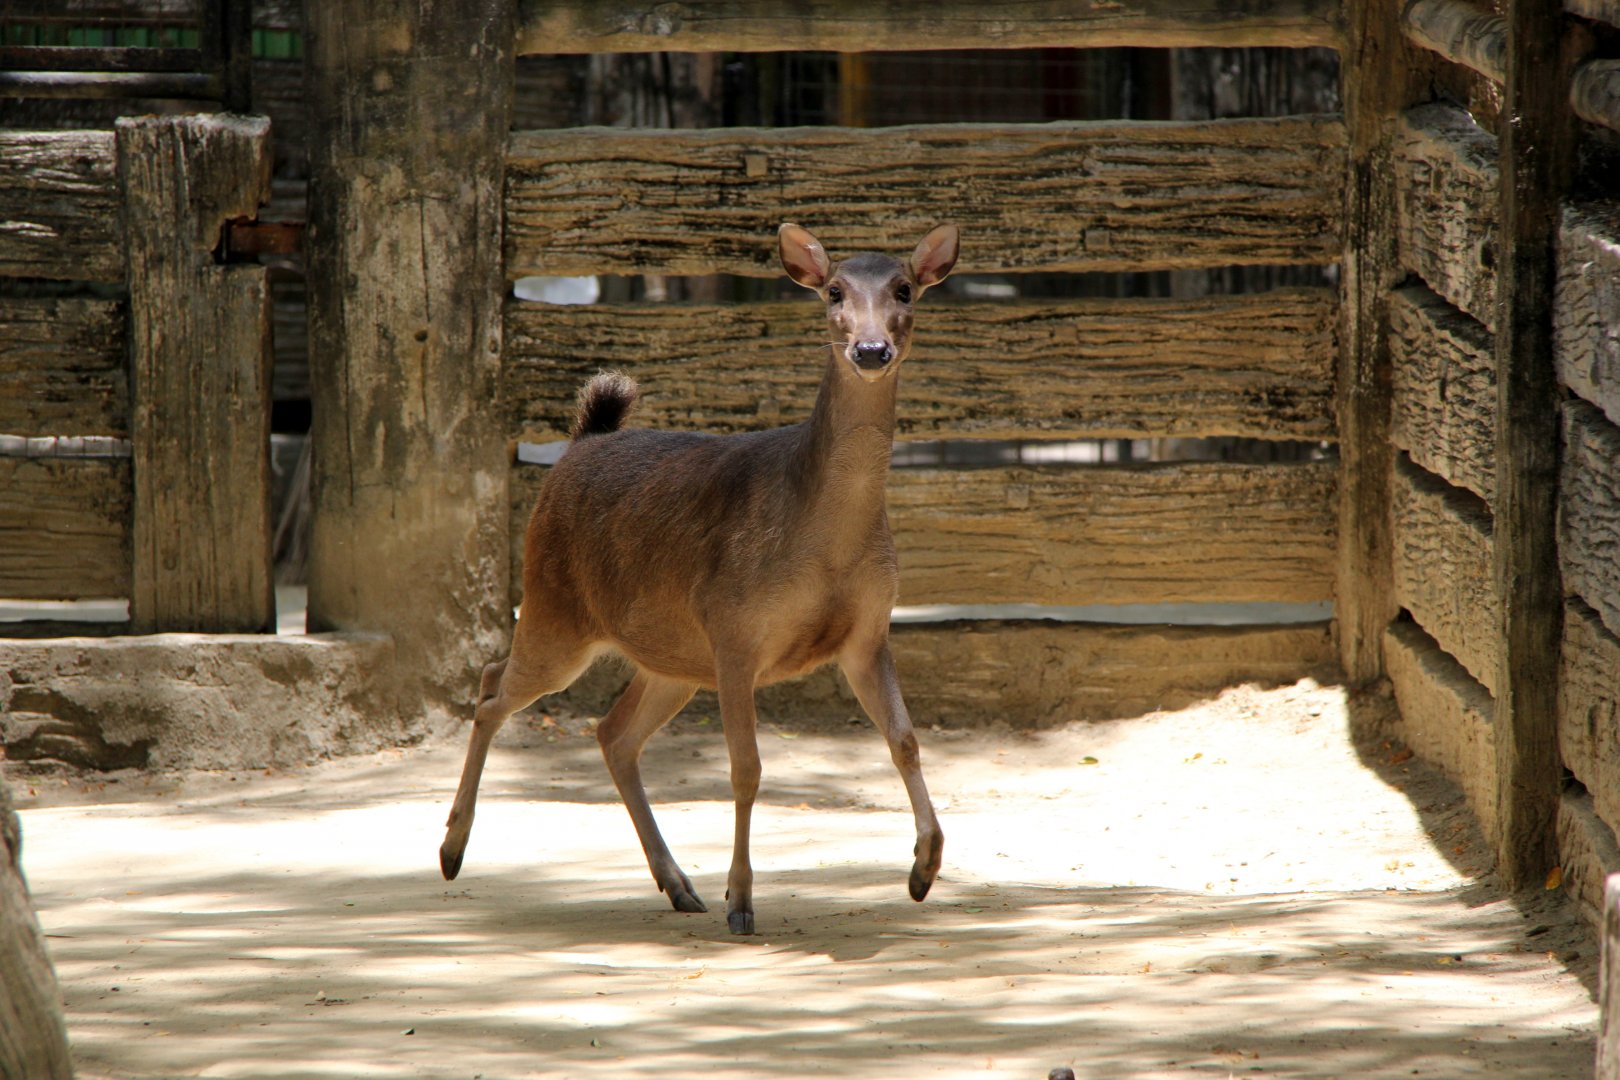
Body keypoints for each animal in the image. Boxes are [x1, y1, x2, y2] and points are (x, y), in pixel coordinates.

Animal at [439, 222, 959, 935]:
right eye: (833, 290)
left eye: (905, 288)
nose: (872, 348)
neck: (825, 544)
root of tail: (576, 446)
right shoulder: (736, 625)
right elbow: (746, 767)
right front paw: (741, 902)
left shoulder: (867, 630)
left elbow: (905, 741)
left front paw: (924, 869)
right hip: (555, 608)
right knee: (493, 688)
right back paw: (451, 850)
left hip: (672, 656)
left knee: (612, 731)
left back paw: (678, 884)